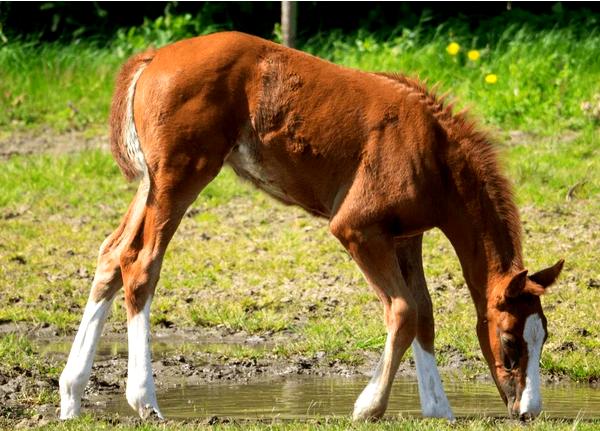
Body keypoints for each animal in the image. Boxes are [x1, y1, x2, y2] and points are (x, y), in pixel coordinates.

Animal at [58, 33, 564, 422]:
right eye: (510, 341)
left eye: (543, 337)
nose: (528, 411)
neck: (434, 156)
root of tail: (153, 58)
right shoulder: (357, 229)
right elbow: (402, 311)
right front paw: (368, 407)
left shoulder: (406, 235)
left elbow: (424, 312)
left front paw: (439, 408)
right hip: (180, 176)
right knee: (141, 263)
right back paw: (144, 401)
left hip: (151, 181)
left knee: (112, 255)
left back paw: (71, 396)